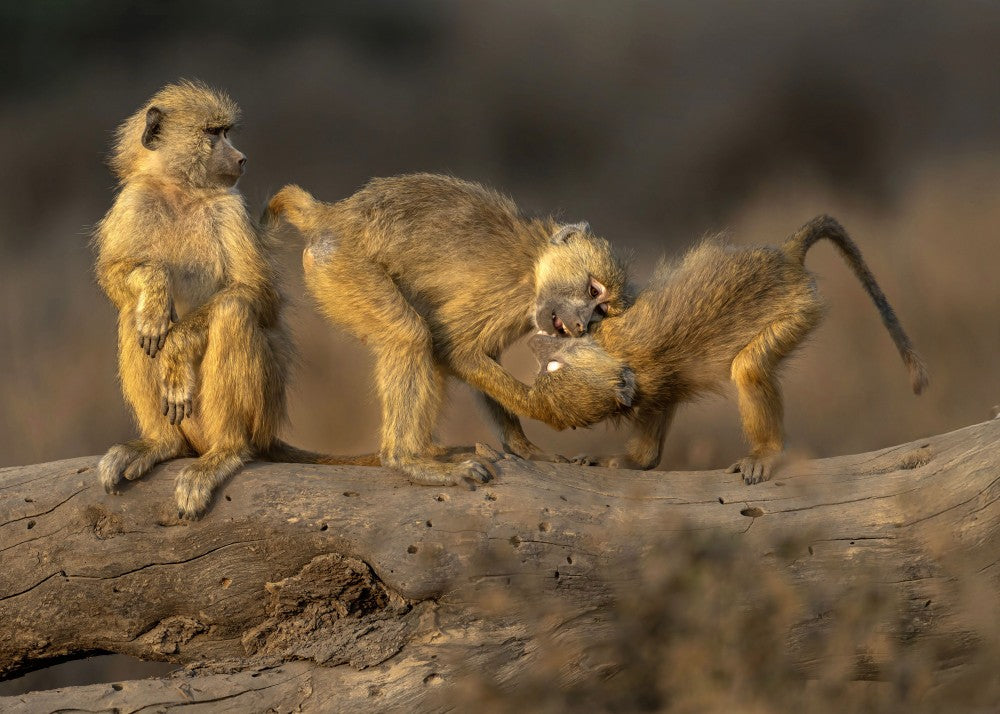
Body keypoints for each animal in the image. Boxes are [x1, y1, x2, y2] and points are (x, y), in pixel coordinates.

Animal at [93, 80, 374, 520]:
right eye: (213, 133)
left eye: (226, 131)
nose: (241, 158)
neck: (182, 192)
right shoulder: (134, 200)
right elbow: (113, 277)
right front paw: (156, 293)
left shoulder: (231, 208)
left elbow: (258, 296)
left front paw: (176, 349)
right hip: (190, 427)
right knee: (132, 318)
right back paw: (160, 442)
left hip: (260, 413)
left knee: (231, 312)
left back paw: (225, 452)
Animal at [265, 174, 632, 487]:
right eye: (593, 291)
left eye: (600, 312)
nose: (581, 324)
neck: (535, 258)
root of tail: (333, 216)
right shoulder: (509, 292)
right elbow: (453, 347)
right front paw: (552, 408)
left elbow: (480, 355)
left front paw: (525, 449)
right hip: (341, 267)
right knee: (411, 335)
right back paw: (407, 460)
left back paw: (428, 451)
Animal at [526, 215, 928, 484]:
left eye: (553, 367)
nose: (535, 344)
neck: (615, 353)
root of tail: (785, 256)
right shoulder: (654, 383)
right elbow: (656, 422)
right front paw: (631, 461)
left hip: (798, 308)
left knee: (749, 367)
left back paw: (767, 452)